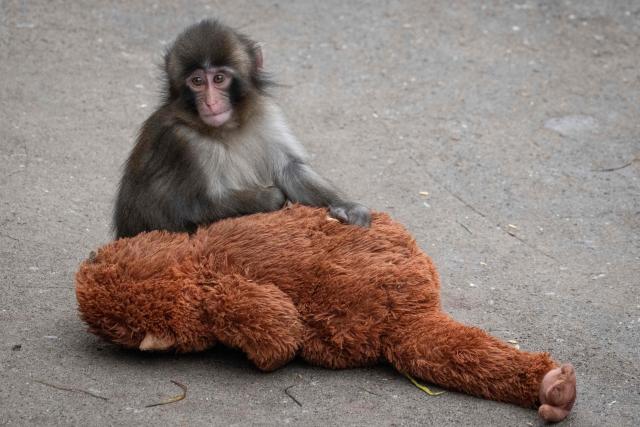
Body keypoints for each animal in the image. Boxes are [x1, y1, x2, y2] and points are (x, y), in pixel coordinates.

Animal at [113, 19, 371, 239]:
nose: (210, 102)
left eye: (219, 79)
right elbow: (172, 211)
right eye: (197, 82)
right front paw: (271, 197)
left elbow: (290, 169)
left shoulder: (266, 115)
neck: (227, 128)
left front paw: (348, 207)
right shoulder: (181, 143)